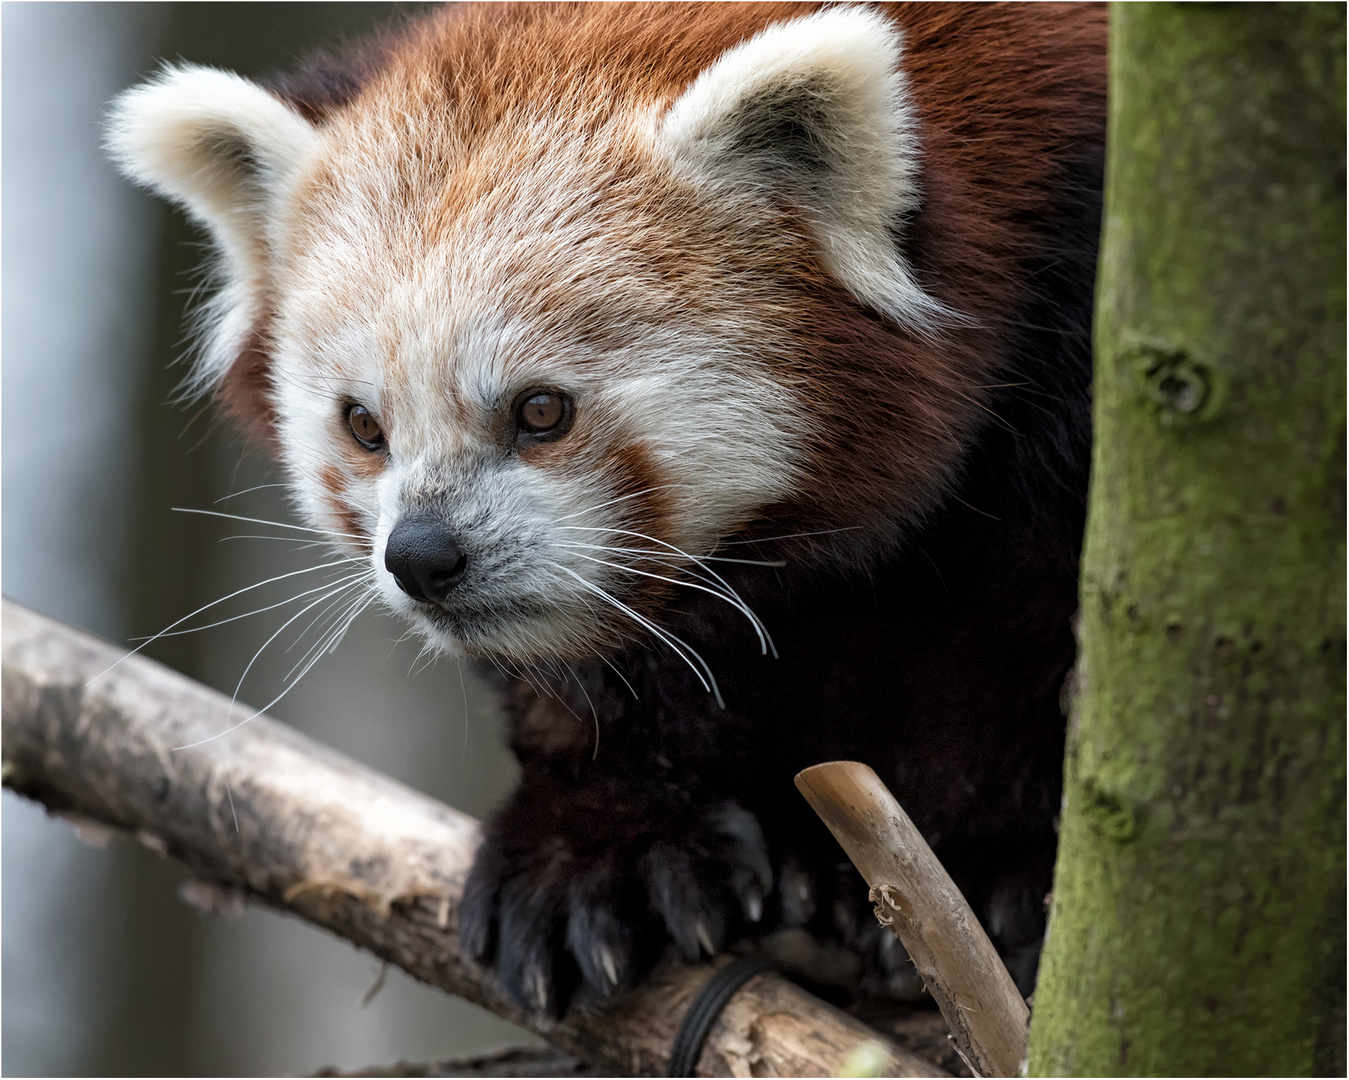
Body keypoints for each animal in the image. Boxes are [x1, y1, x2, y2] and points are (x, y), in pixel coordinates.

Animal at [107, 2, 1106, 1013]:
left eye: (541, 410)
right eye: (363, 426)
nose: (422, 557)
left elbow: (1031, 637)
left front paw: (995, 872)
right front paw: (593, 848)